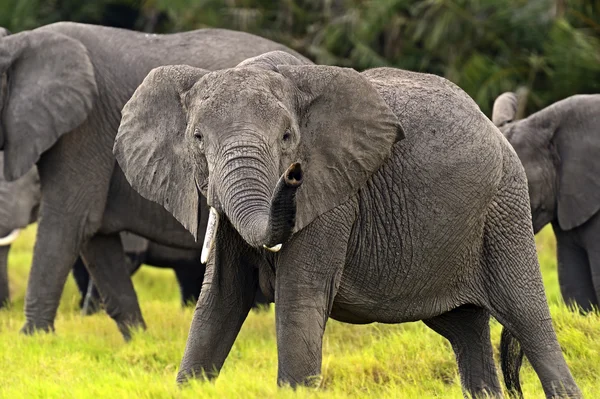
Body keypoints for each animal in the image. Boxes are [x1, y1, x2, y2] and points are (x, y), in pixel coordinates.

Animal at [0, 21, 302, 340]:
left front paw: (32, 338)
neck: (19, 42)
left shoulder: (85, 127)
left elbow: (69, 220)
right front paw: (138, 339)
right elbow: (95, 235)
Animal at [113, 50, 580, 399]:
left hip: (505, 208)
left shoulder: (334, 196)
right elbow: (219, 302)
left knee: (528, 319)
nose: (292, 176)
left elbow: (298, 300)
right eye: (197, 139)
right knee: (466, 330)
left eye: (287, 139)